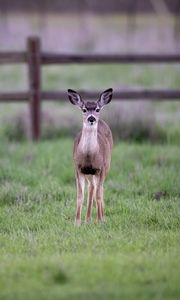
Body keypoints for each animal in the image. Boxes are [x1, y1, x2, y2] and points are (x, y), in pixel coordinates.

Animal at [67, 88, 112, 225]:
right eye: (84, 109)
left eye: (97, 109)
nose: (91, 118)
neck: (89, 156)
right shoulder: (78, 169)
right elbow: (80, 195)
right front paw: (77, 222)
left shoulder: (100, 169)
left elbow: (98, 194)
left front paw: (100, 220)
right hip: (89, 173)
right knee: (92, 187)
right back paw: (88, 219)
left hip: (107, 166)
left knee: (99, 189)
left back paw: (99, 218)